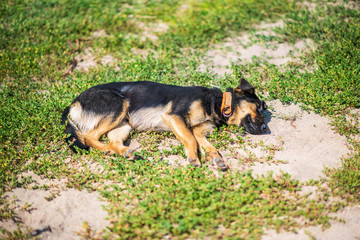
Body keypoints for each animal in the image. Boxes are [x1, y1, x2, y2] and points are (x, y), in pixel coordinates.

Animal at [61, 79, 268, 171]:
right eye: (259, 107)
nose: (266, 129)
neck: (216, 103)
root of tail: (73, 103)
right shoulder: (174, 116)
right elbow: (190, 140)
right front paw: (193, 159)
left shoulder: (199, 130)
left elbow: (208, 146)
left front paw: (217, 158)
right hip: (118, 105)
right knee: (89, 137)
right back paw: (107, 150)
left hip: (124, 125)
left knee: (112, 141)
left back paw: (126, 152)